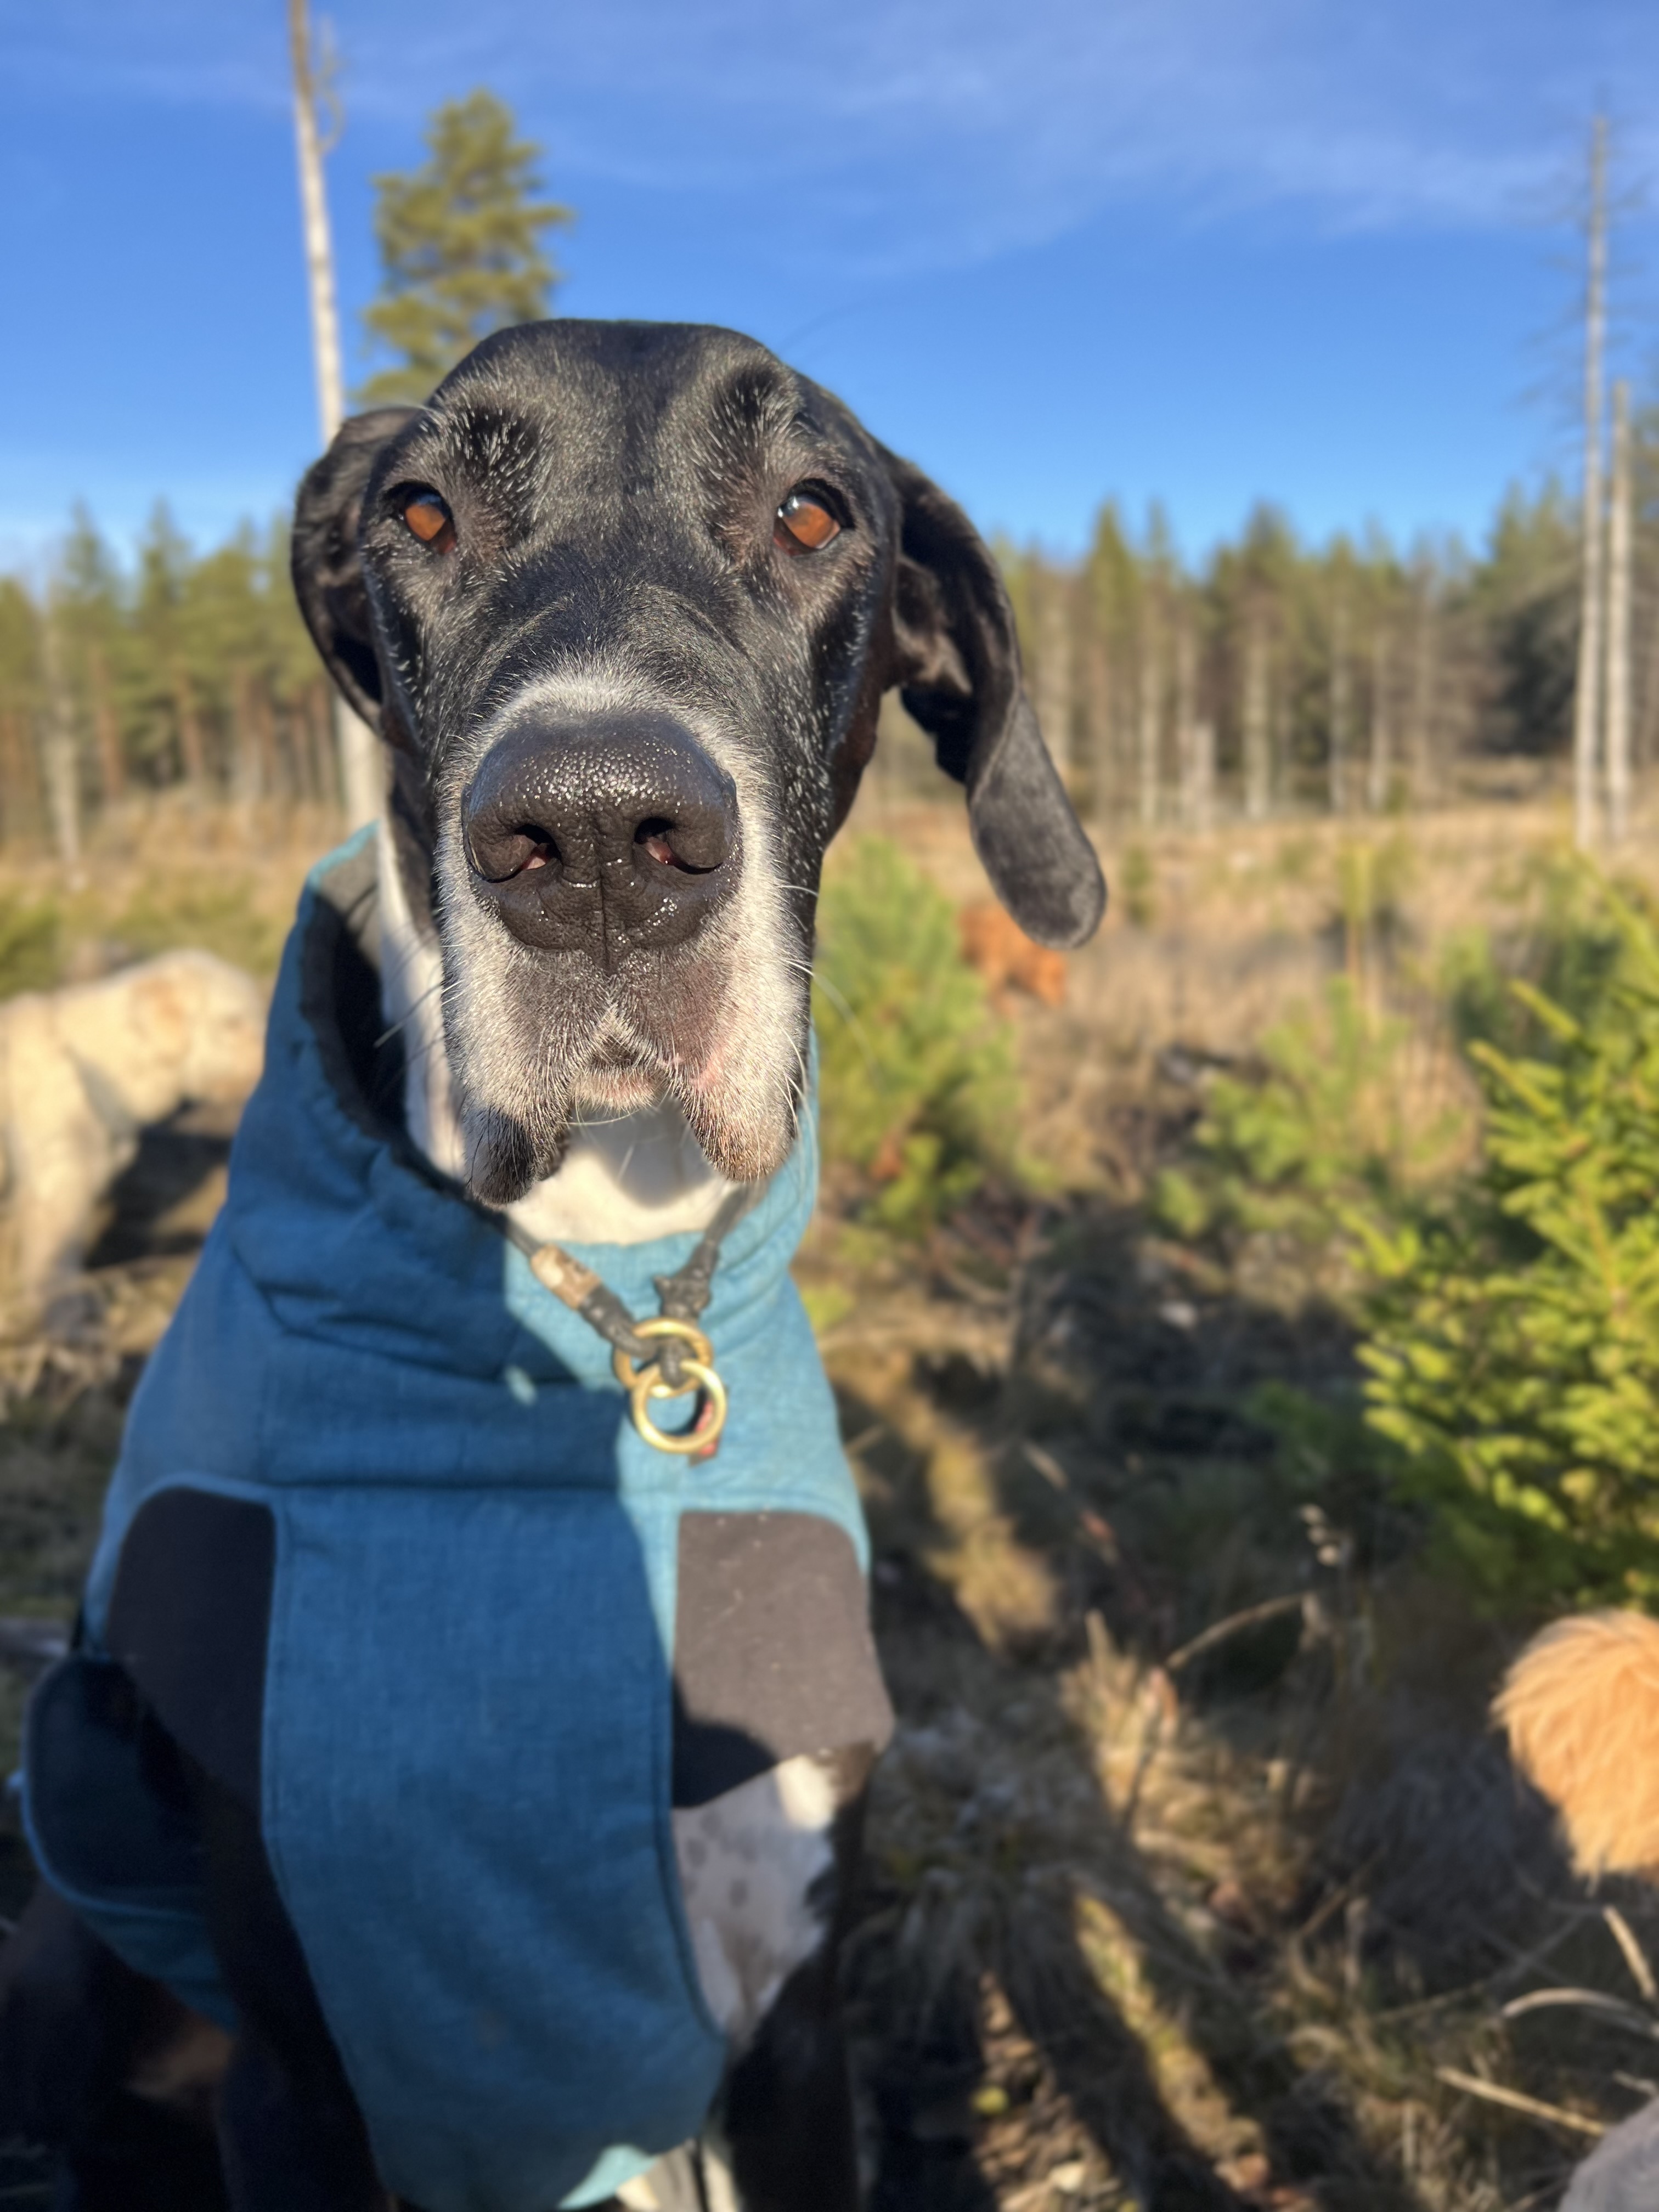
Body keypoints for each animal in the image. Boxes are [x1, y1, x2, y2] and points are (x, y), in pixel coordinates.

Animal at [1, 319, 1104, 2212]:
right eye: (422, 512)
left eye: (814, 511)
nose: (593, 838)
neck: (598, 1277)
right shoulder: (299, 2076)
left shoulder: (794, 2028)